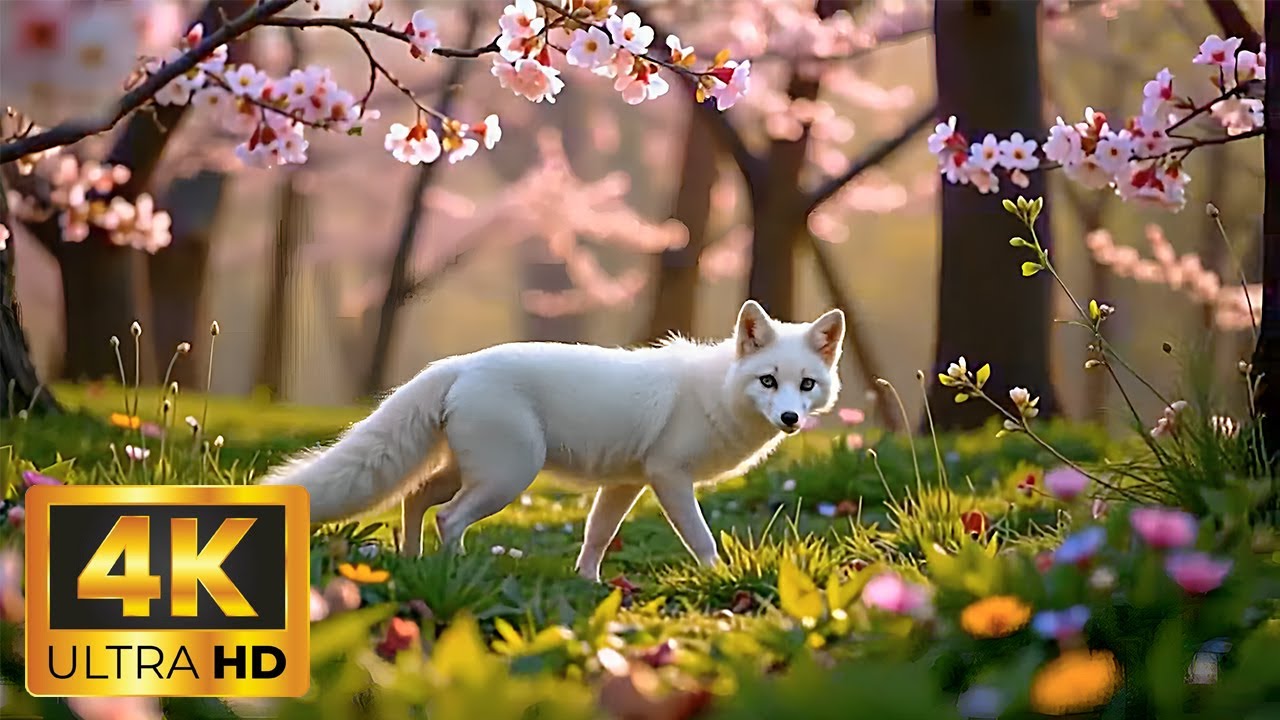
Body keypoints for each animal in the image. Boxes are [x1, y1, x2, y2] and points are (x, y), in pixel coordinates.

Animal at [259, 299, 846, 581]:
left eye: (806, 384)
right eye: (767, 380)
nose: (790, 418)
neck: (714, 392)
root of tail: (460, 364)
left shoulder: (627, 483)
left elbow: (596, 536)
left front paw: (589, 585)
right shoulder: (668, 478)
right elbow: (701, 540)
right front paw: (718, 579)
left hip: (468, 472)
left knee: (414, 499)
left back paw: (413, 562)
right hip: (508, 477)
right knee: (448, 517)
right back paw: (456, 568)